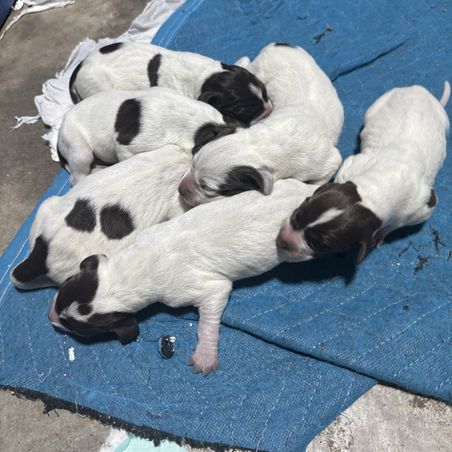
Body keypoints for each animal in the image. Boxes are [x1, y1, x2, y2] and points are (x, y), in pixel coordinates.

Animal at [47, 179, 318, 375]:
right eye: (66, 286)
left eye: (77, 328)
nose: (50, 317)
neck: (137, 266)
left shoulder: (205, 288)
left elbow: (209, 315)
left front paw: (205, 356)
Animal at [69, 42, 272, 126]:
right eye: (243, 110)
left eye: (265, 91)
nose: (269, 109)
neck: (204, 76)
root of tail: (81, 66)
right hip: (97, 85)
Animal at [178, 43, 344, 206]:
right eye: (192, 163)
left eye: (206, 188)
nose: (180, 190)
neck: (262, 143)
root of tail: (276, 44)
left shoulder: (327, 162)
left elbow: (322, 177)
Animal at [276, 82, 450, 262]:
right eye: (299, 213)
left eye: (320, 244)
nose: (282, 240)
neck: (374, 189)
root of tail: (422, 91)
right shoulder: (351, 166)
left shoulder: (420, 209)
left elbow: (394, 225)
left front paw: (381, 234)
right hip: (380, 102)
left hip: (445, 123)